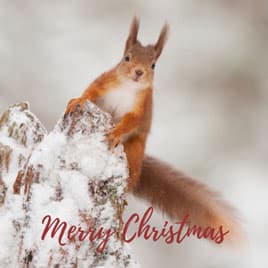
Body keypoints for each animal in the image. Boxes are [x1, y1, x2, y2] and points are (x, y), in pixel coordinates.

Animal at [65, 17, 243, 245]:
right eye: (127, 58)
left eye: (153, 65)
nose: (139, 72)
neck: (128, 87)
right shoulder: (104, 82)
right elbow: (90, 92)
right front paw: (77, 100)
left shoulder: (141, 110)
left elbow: (131, 122)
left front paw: (116, 132)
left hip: (133, 152)